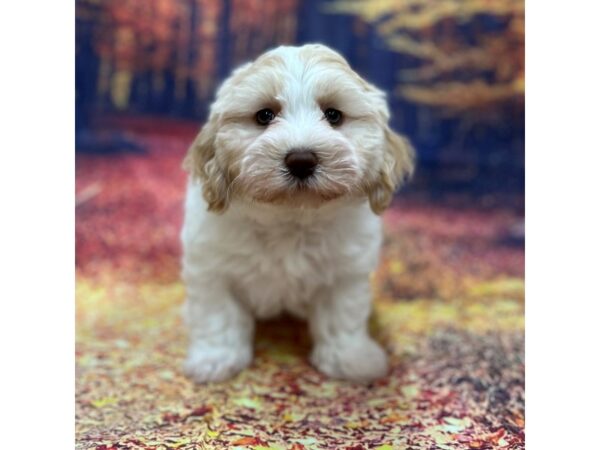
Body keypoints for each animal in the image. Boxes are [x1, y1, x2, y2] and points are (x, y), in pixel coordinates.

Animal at [180, 43, 414, 384]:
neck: (291, 218)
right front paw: (215, 358)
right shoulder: (211, 269)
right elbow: (217, 315)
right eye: (264, 115)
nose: (301, 160)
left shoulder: (346, 273)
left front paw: (350, 358)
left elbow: (342, 315)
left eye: (333, 115)